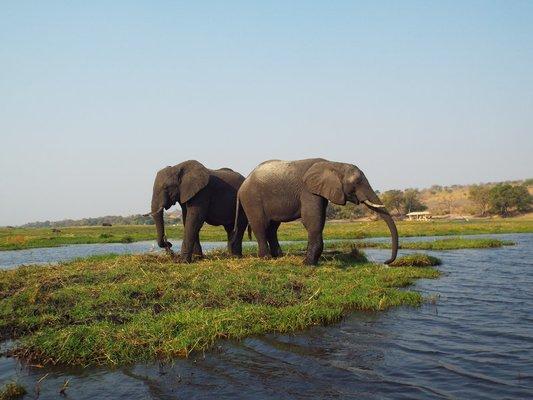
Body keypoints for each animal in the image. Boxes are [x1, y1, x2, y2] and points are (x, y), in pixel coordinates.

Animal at [235, 159, 396, 266]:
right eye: (356, 182)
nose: (386, 262)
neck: (334, 164)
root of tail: (243, 183)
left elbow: (319, 219)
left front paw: (309, 262)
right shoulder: (308, 191)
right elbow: (312, 220)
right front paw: (308, 263)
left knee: (272, 227)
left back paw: (278, 256)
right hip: (252, 199)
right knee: (260, 225)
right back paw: (266, 258)